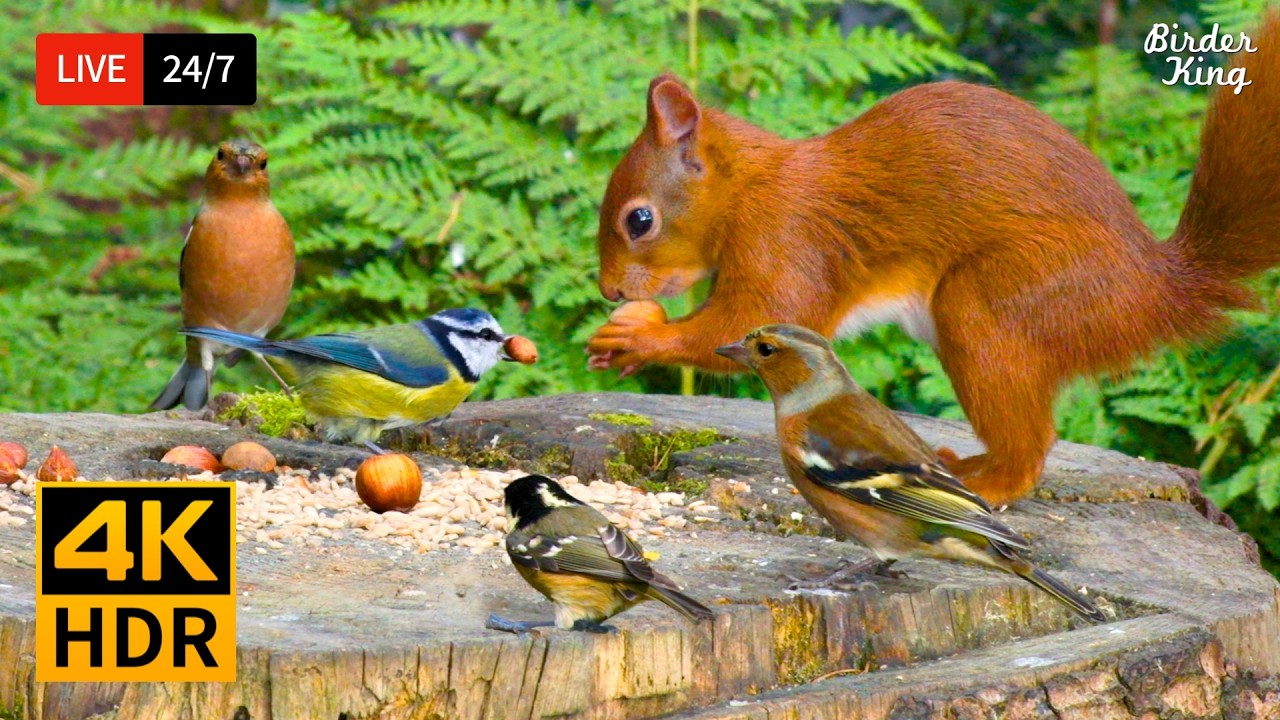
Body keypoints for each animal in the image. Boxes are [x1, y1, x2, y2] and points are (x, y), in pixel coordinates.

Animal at [587, 14, 1280, 507]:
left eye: (639, 220)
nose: (610, 291)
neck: (749, 189)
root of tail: (1154, 292)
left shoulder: (785, 241)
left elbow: (745, 325)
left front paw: (636, 338)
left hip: (997, 300)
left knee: (1030, 446)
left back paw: (985, 481)